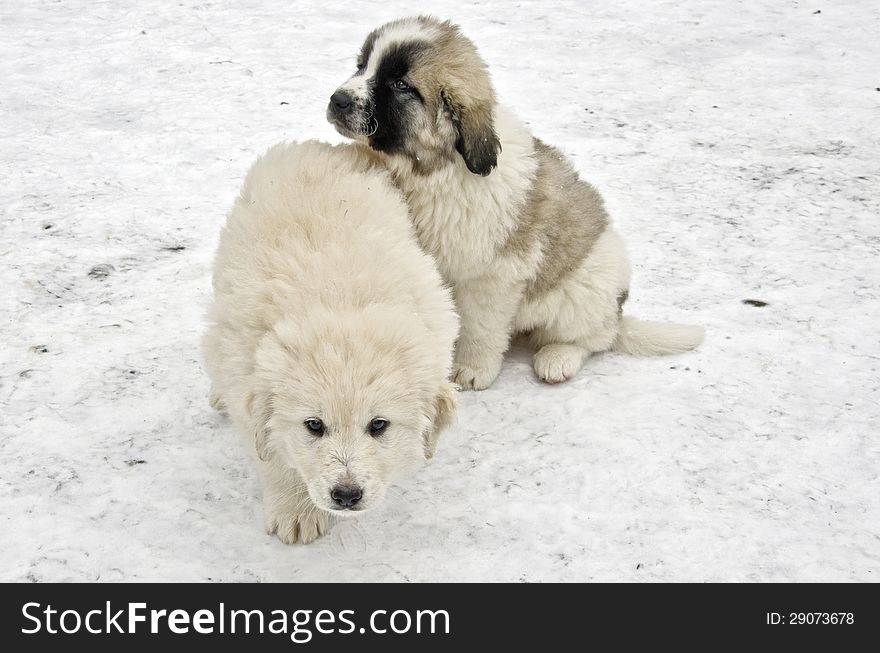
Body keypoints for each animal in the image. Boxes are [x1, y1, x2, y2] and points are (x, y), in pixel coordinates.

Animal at [202, 140, 458, 544]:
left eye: (379, 425)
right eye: (314, 425)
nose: (347, 495)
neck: (339, 304)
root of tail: (320, 145)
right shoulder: (244, 368)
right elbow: (272, 454)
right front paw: (296, 511)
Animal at [326, 16, 704, 388]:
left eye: (400, 84)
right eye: (362, 65)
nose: (337, 100)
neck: (435, 166)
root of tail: (618, 309)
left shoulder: (494, 274)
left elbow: (480, 325)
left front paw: (472, 368)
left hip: (585, 290)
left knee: (595, 338)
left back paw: (558, 358)